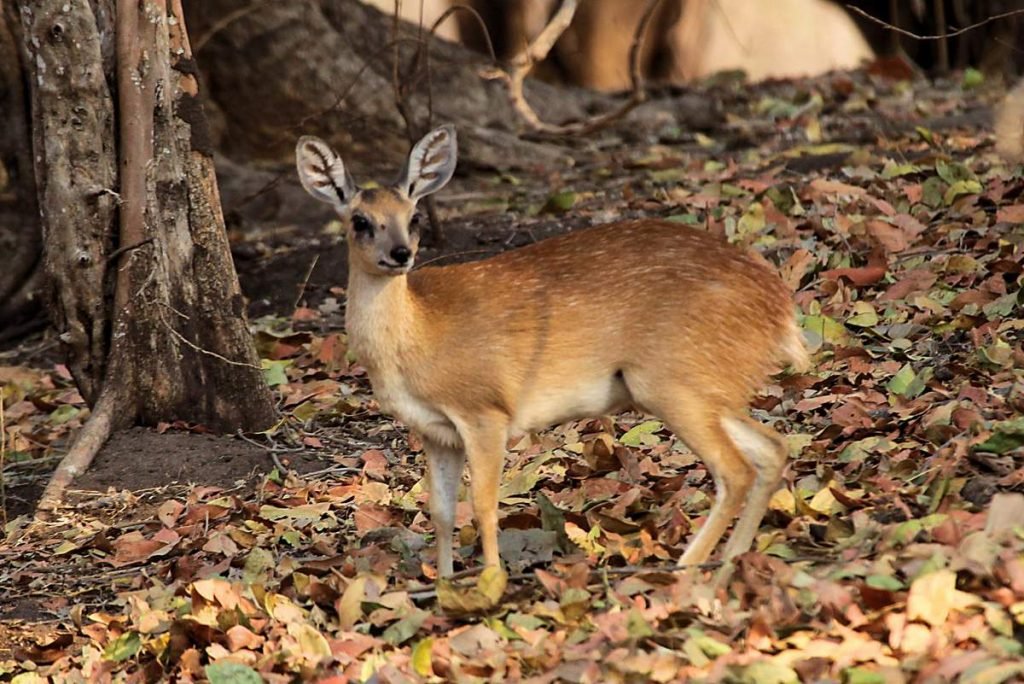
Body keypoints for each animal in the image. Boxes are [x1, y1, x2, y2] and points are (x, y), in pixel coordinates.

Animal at [296, 124, 806, 610]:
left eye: (414, 217)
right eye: (360, 220)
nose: (401, 253)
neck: (417, 338)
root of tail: (781, 312)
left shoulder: (484, 411)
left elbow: (483, 504)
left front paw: (489, 587)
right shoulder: (435, 431)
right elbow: (440, 511)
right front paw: (442, 587)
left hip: (671, 383)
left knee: (735, 471)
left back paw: (678, 581)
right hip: (709, 388)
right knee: (771, 449)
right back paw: (718, 577)